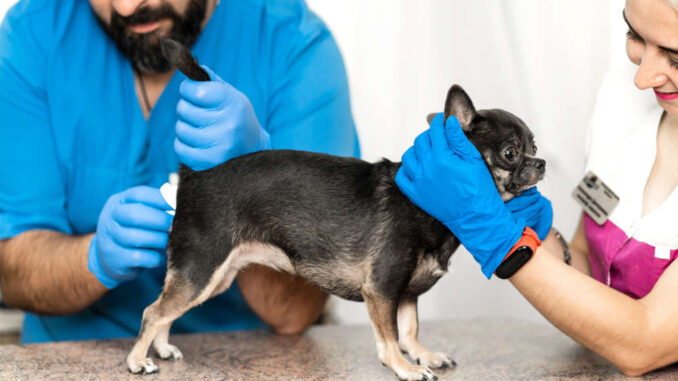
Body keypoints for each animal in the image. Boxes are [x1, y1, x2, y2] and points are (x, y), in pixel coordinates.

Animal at [126, 40, 548, 378]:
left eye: (534, 147)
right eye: (511, 153)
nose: (541, 163)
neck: (427, 206)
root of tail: (194, 174)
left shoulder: (406, 293)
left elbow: (410, 329)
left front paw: (423, 355)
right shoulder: (381, 290)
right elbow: (390, 338)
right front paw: (405, 368)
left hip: (212, 277)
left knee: (166, 310)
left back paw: (161, 348)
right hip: (201, 269)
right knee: (152, 312)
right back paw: (137, 360)